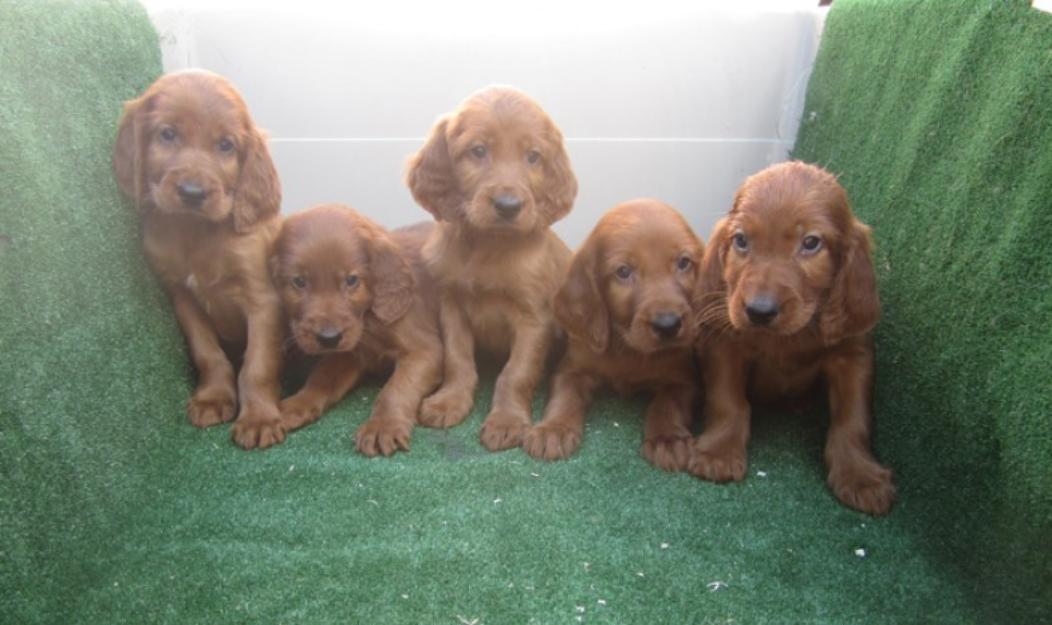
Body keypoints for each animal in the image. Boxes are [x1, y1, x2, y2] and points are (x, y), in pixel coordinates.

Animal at [113, 69, 286, 448]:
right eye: (167, 134)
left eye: (226, 145)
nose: (193, 193)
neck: (194, 232)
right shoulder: (181, 296)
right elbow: (206, 352)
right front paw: (213, 399)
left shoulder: (262, 299)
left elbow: (258, 364)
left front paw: (259, 418)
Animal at [269, 207, 441, 454]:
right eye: (299, 282)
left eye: (352, 280)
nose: (329, 338)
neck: (368, 321)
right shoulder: (349, 353)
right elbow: (321, 377)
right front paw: (296, 405)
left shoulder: (425, 351)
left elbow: (396, 388)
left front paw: (382, 426)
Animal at [406, 86, 580, 448]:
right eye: (478, 150)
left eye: (533, 156)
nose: (508, 206)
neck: (489, 244)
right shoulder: (451, 306)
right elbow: (457, 360)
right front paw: (449, 401)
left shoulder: (534, 319)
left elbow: (516, 373)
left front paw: (507, 420)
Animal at [523, 199, 702, 467]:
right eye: (623, 272)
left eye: (683, 263)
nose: (668, 325)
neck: (627, 346)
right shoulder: (572, 368)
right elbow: (564, 396)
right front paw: (554, 429)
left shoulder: (682, 378)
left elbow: (668, 403)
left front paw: (668, 438)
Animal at [690, 162, 896, 515]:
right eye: (741, 240)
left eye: (811, 243)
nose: (759, 311)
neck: (791, 336)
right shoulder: (725, 344)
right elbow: (728, 401)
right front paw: (718, 452)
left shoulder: (853, 356)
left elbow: (852, 420)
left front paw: (861, 475)